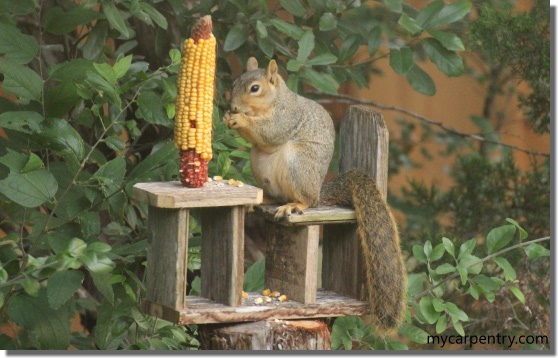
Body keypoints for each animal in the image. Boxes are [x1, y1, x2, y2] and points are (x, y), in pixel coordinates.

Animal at [223, 56, 406, 332]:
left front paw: (240, 120)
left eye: (255, 88)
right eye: (234, 83)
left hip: (298, 164)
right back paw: (265, 199)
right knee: (276, 195)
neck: (275, 100)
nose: (232, 105)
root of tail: (319, 192)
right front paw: (228, 116)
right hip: (260, 163)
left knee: (306, 200)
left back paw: (295, 205)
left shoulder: (286, 119)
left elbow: (269, 132)